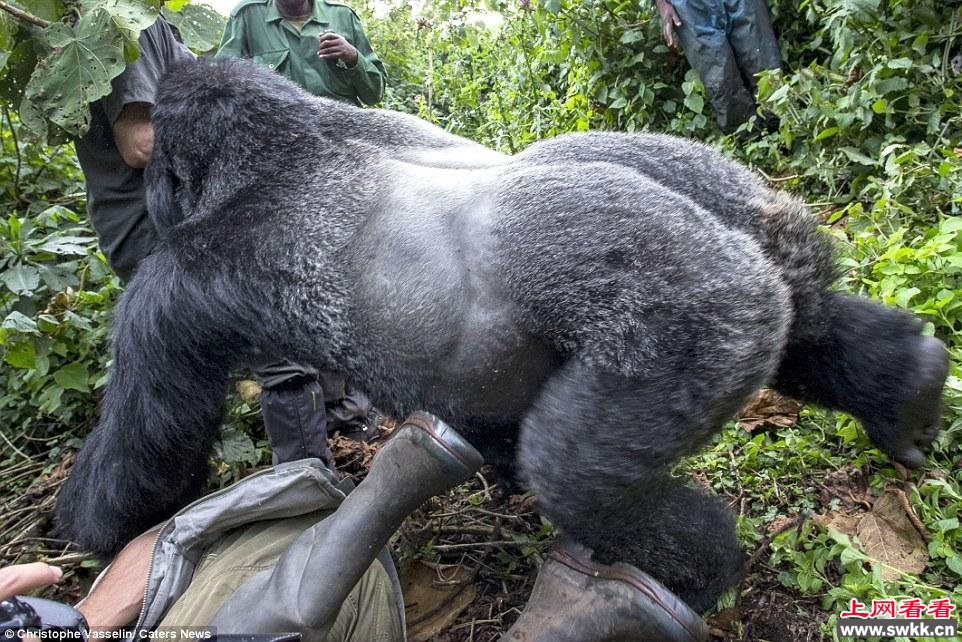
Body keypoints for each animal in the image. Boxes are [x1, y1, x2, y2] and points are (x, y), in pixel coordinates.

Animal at [58, 60, 944, 620]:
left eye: (157, 176)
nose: (147, 187)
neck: (286, 144)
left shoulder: (176, 287)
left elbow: (146, 439)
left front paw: (91, 535)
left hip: (698, 312)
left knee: (579, 474)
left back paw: (696, 573)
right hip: (754, 222)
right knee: (811, 320)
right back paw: (907, 388)